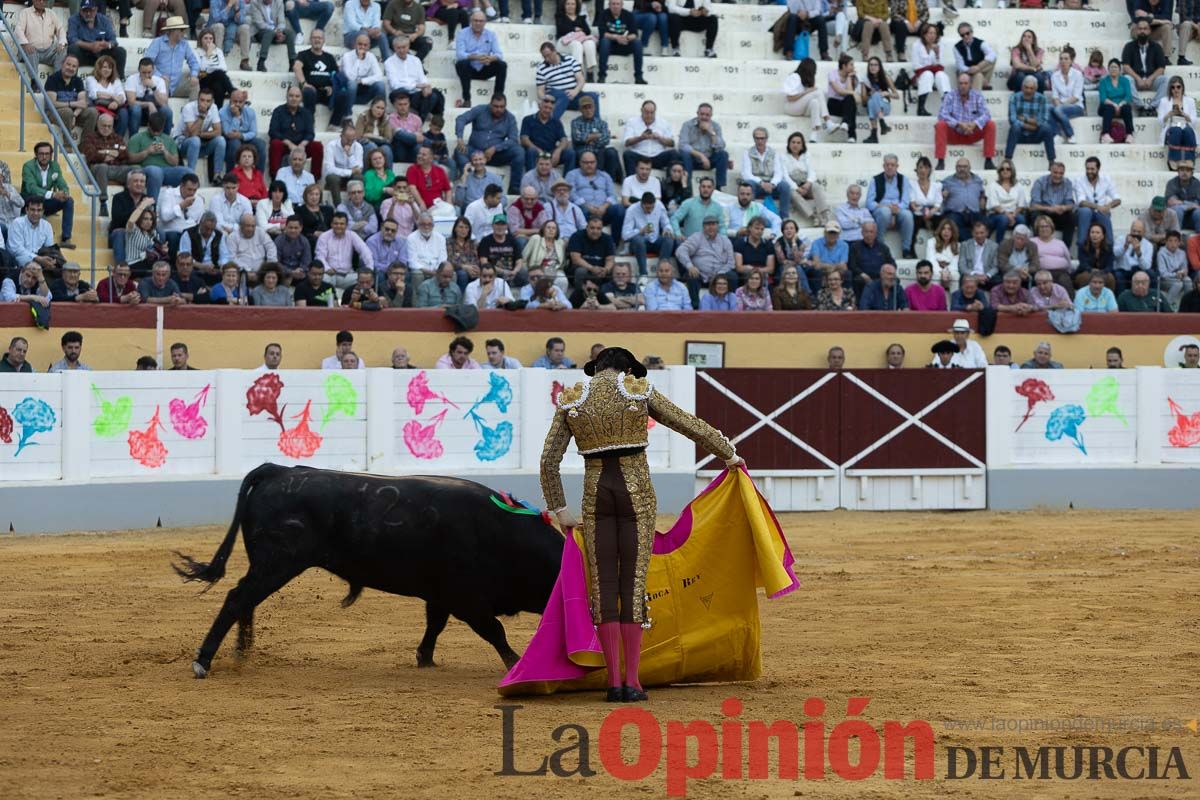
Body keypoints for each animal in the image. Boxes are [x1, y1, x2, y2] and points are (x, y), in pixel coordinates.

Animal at [175, 465, 566, 681]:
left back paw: (242, 654)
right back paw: (204, 662)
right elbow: (494, 631)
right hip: (277, 563)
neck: (501, 533)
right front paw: (516, 664)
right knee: (237, 598)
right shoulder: (466, 598)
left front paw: (425, 659)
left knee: (246, 602)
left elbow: (435, 625)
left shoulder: (441, 595)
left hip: (267, 565)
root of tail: (281, 471)